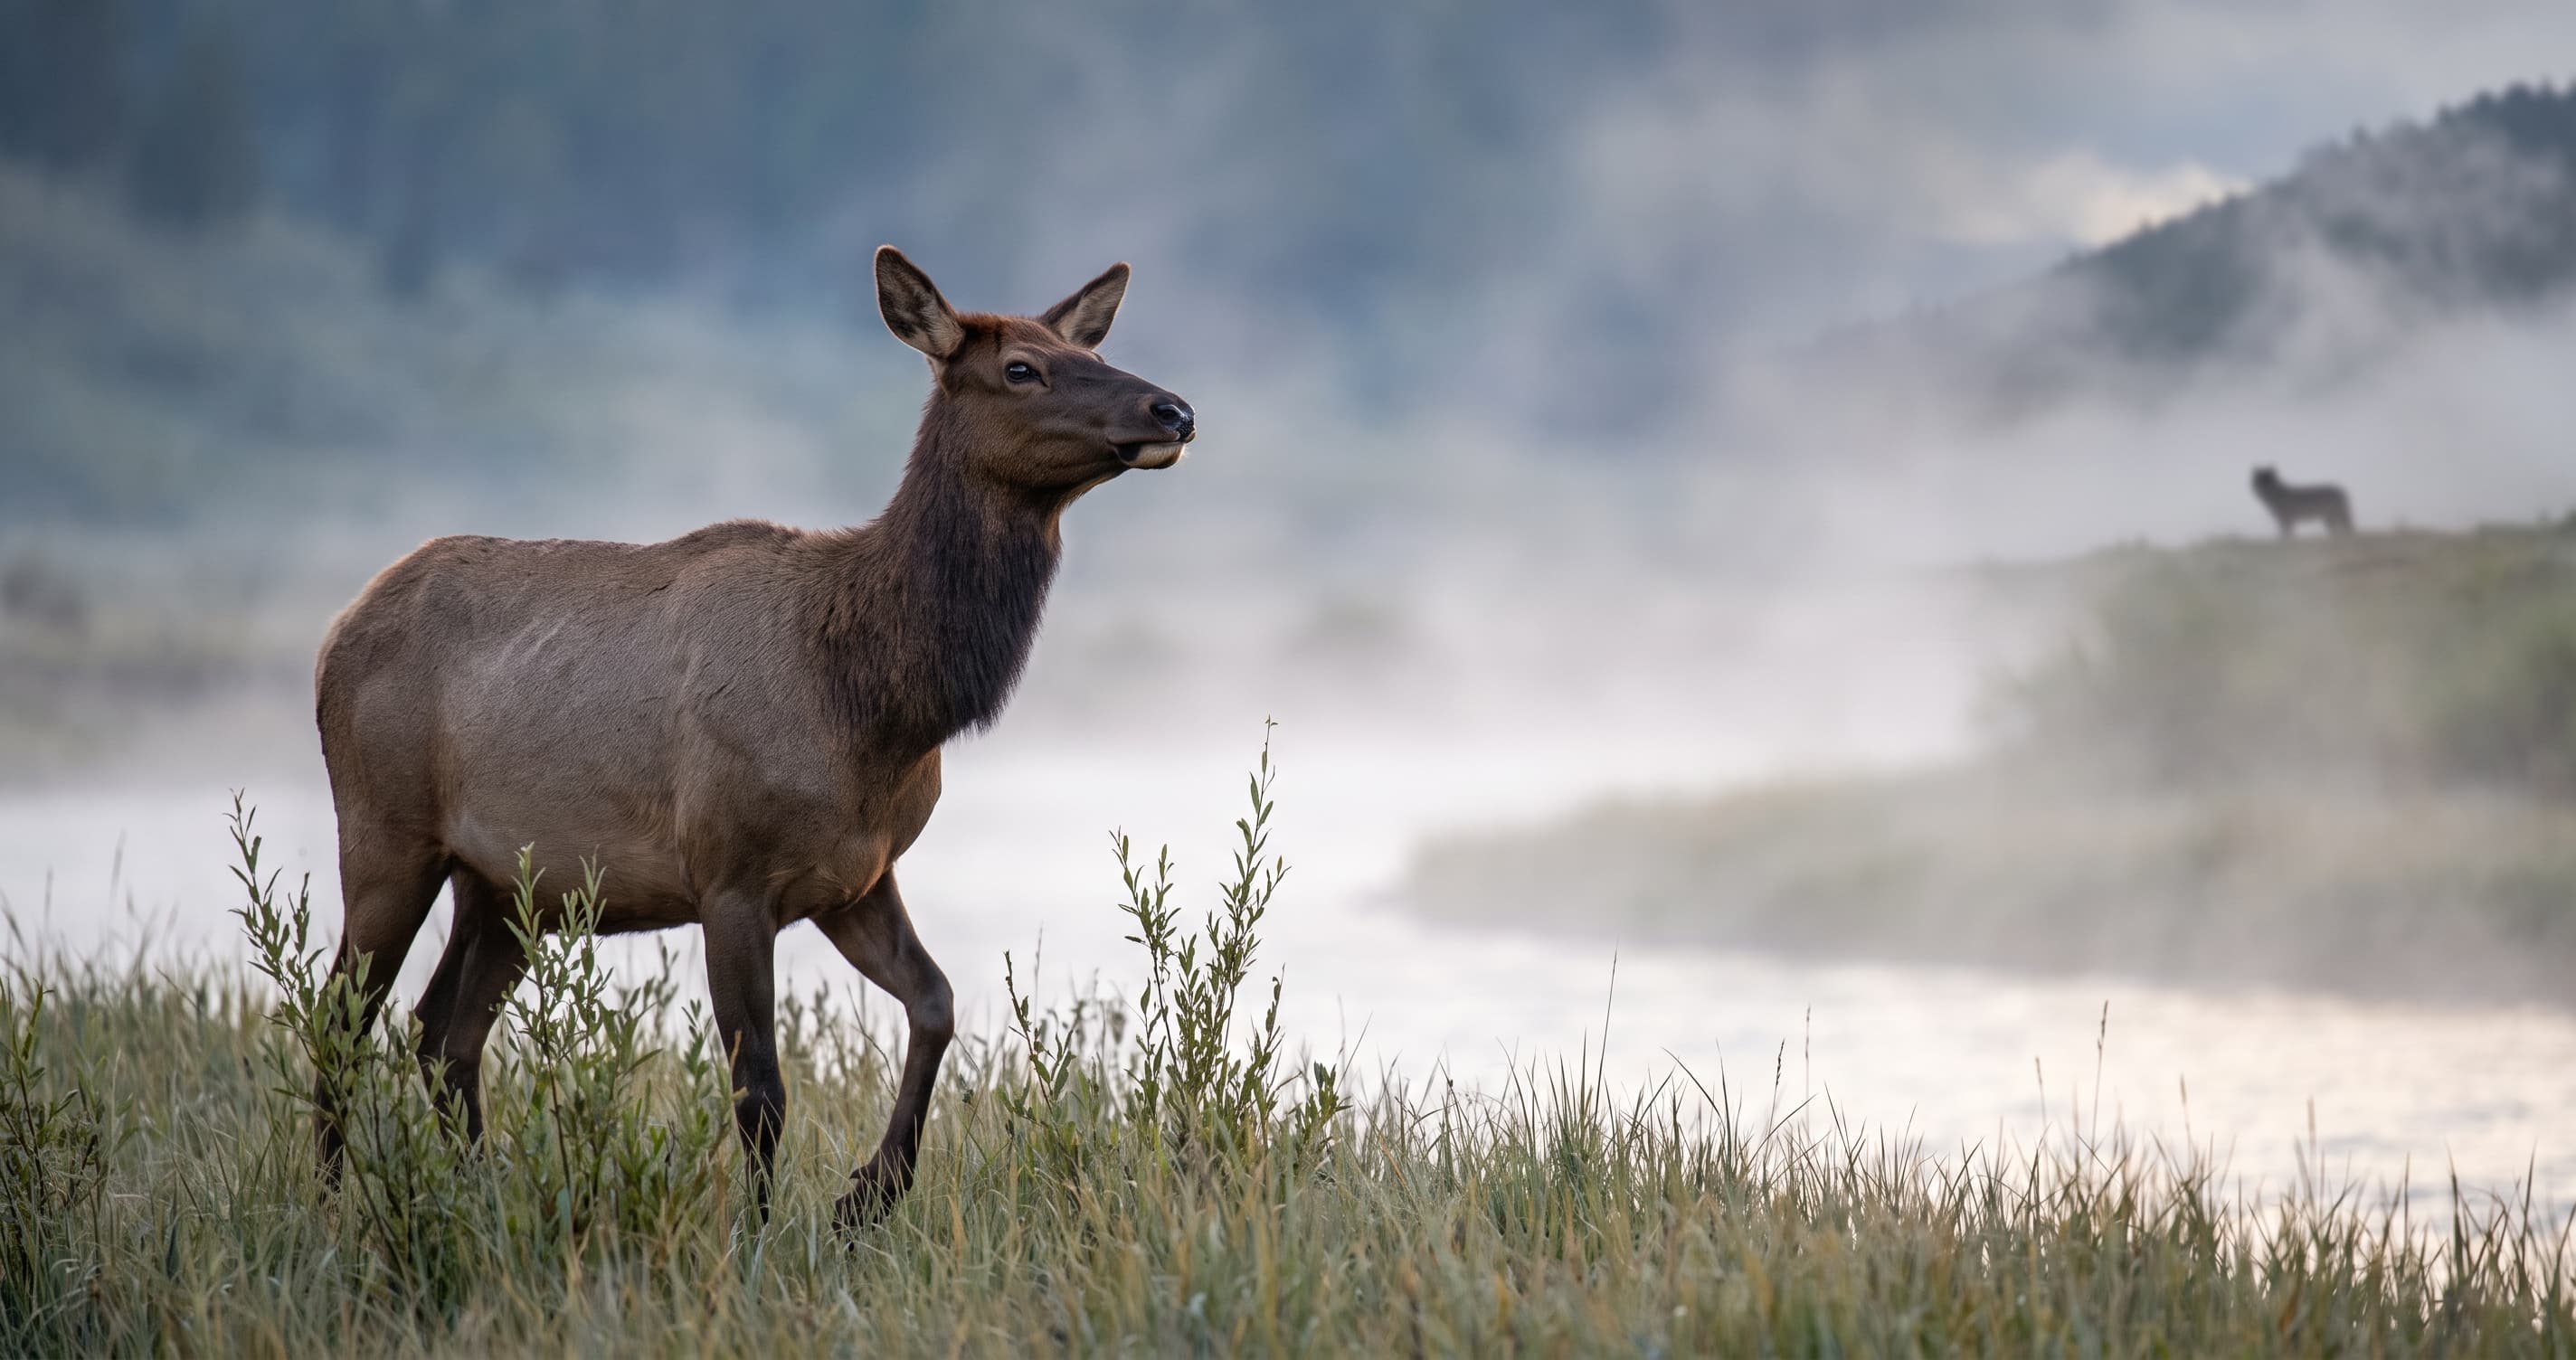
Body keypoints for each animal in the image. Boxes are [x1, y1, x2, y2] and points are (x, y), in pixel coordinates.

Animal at [308, 246, 1196, 1227]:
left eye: (1087, 350)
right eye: (1022, 368)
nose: (1172, 410)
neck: (875, 707)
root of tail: (333, 635)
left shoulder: (857, 875)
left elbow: (936, 1002)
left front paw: (868, 1191)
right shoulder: (729, 877)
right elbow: (760, 1089)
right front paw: (766, 1234)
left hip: (503, 884)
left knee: (440, 1033)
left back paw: (478, 1195)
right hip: (386, 831)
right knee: (338, 1018)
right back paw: (331, 1209)